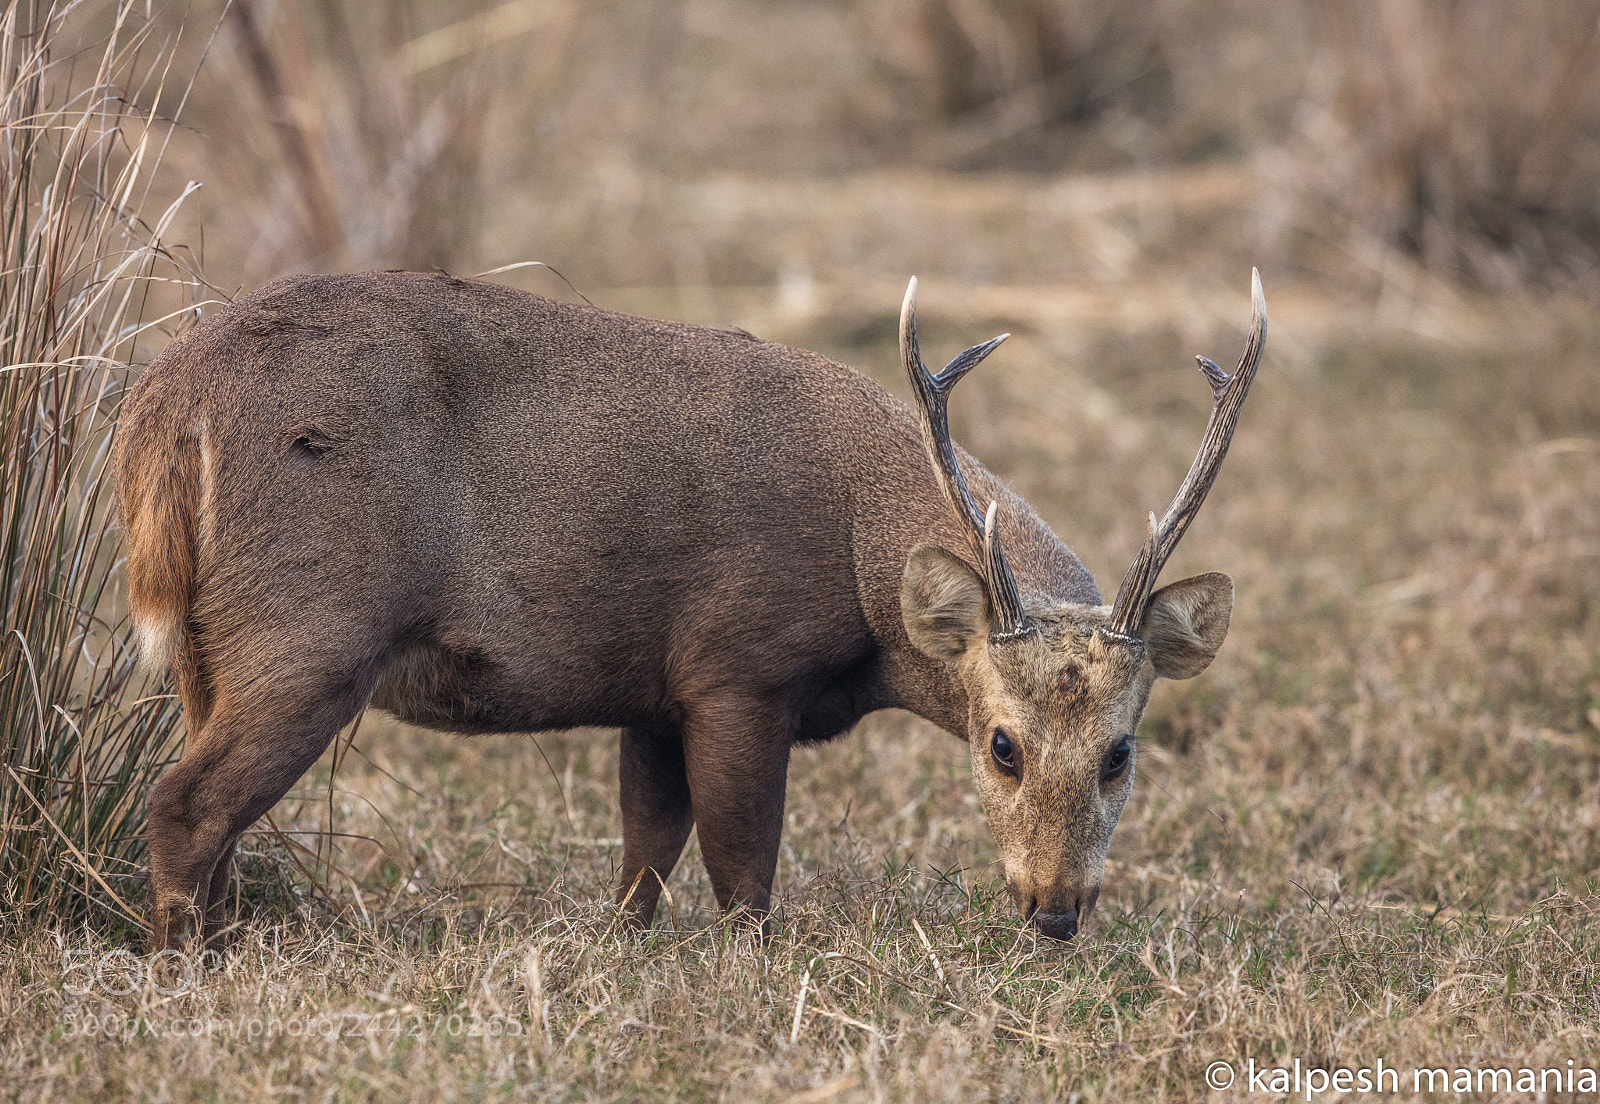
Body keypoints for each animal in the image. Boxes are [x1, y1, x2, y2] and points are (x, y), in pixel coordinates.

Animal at [114, 267, 1265, 952]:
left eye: (1121, 752)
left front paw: (623, 956)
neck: (860, 547)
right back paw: (191, 969)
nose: (1055, 908)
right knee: (184, 803)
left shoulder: (653, 691)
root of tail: (169, 404)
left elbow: (644, 854)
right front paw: (749, 972)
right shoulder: (735, 664)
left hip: (211, 649)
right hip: (307, 625)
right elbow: (741, 868)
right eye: (1001, 745)